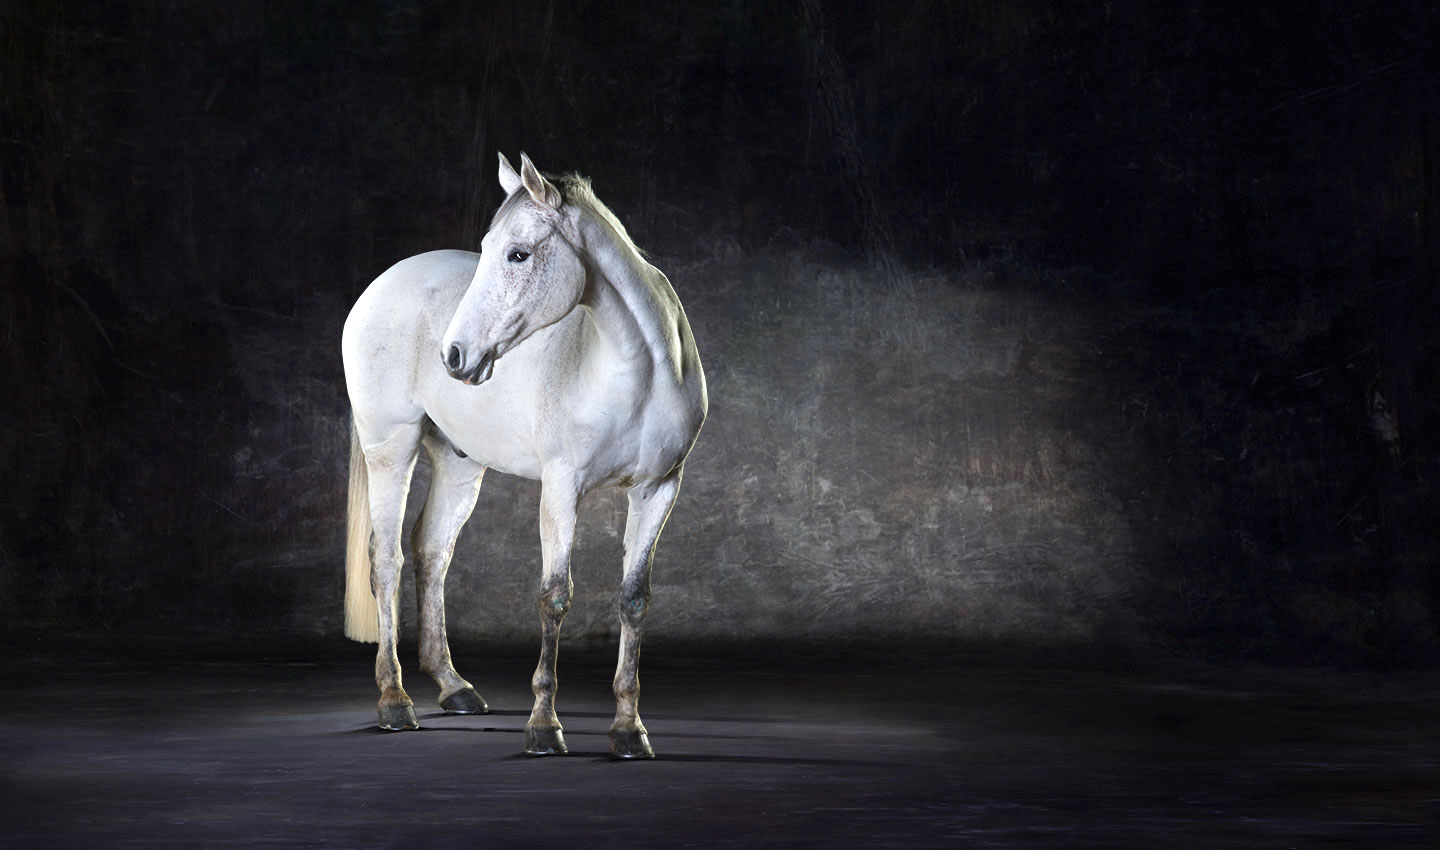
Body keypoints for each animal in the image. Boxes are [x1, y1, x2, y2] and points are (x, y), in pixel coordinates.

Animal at [340, 152, 707, 759]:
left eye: (518, 253)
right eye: (490, 248)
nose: (454, 354)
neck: (637, 375)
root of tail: (381, 284)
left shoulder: (660, 489)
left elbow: (634, 599)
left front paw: (629, 730)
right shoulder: (562, 487)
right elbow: (554, 597)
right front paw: (544, 726)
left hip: (460, 463)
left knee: (431, 549)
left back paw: (453, 686)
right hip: (391, 446)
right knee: (385, 558)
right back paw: (394, 700)